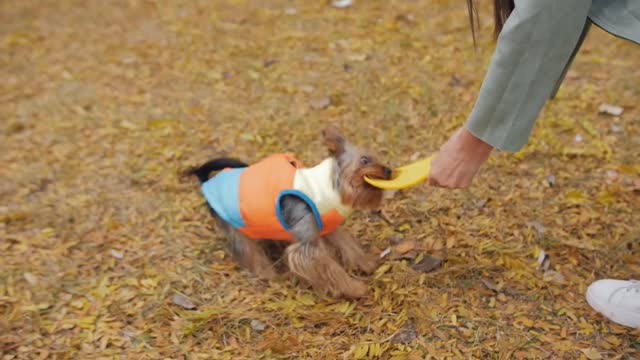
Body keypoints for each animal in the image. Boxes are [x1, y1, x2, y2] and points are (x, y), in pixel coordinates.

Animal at [188, 127, 392, 298]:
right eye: (365, 160)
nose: (389, 170)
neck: (327, 187)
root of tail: (207, 181)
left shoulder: (327, 226)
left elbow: (348, 244)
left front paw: (366, 263)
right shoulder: (307, 247)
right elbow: (332, 269)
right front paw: (354, 288)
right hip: (235, 228)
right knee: (250, 253)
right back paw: (270, 275)